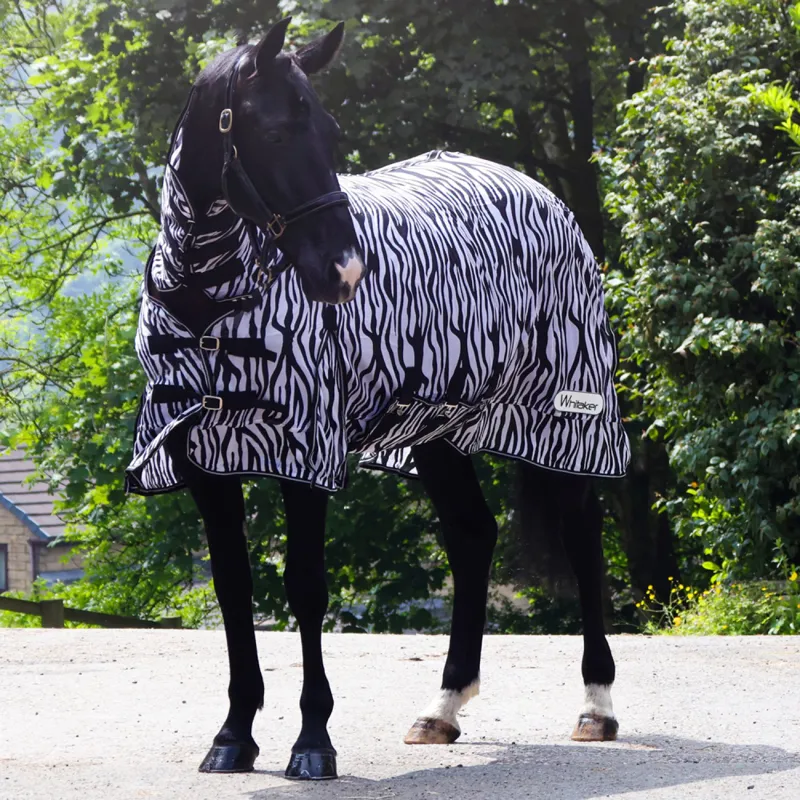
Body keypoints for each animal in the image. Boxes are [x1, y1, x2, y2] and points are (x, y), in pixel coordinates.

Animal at [126, 18, 631, 779]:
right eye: (274, 131)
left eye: (331, 132)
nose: (343, 272)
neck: (212, 301)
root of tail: (535, 191)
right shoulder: (204, 460)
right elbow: (234, 589)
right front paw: (234, 735)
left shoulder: (303, 450)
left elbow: (305, 586)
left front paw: (312, 742)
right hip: (439, 429)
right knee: (472, 537)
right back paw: (442, 708)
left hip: (567, 415)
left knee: (583, 536)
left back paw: (596, 707)